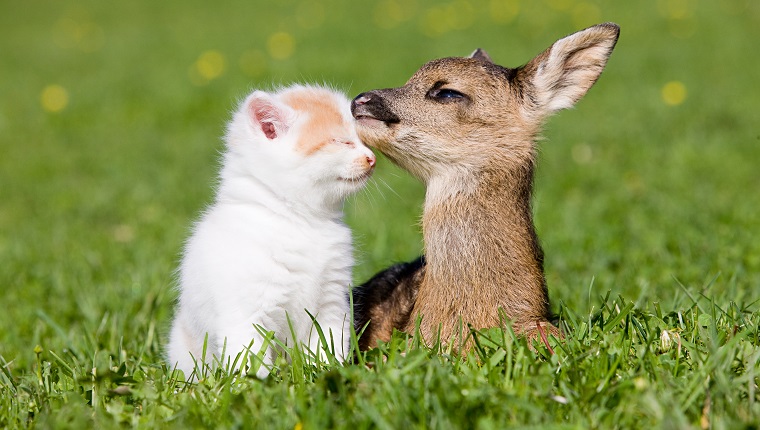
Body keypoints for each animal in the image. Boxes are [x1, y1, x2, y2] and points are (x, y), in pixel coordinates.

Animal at [169, 85, 378, 380]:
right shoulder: (246, 313)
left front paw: (327, 374)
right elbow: (249, 360)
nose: (372, 158)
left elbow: (327, 347)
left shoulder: (331, 303)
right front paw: (254, 387)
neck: (302, 221)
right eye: (341, 142)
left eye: (362, 140)